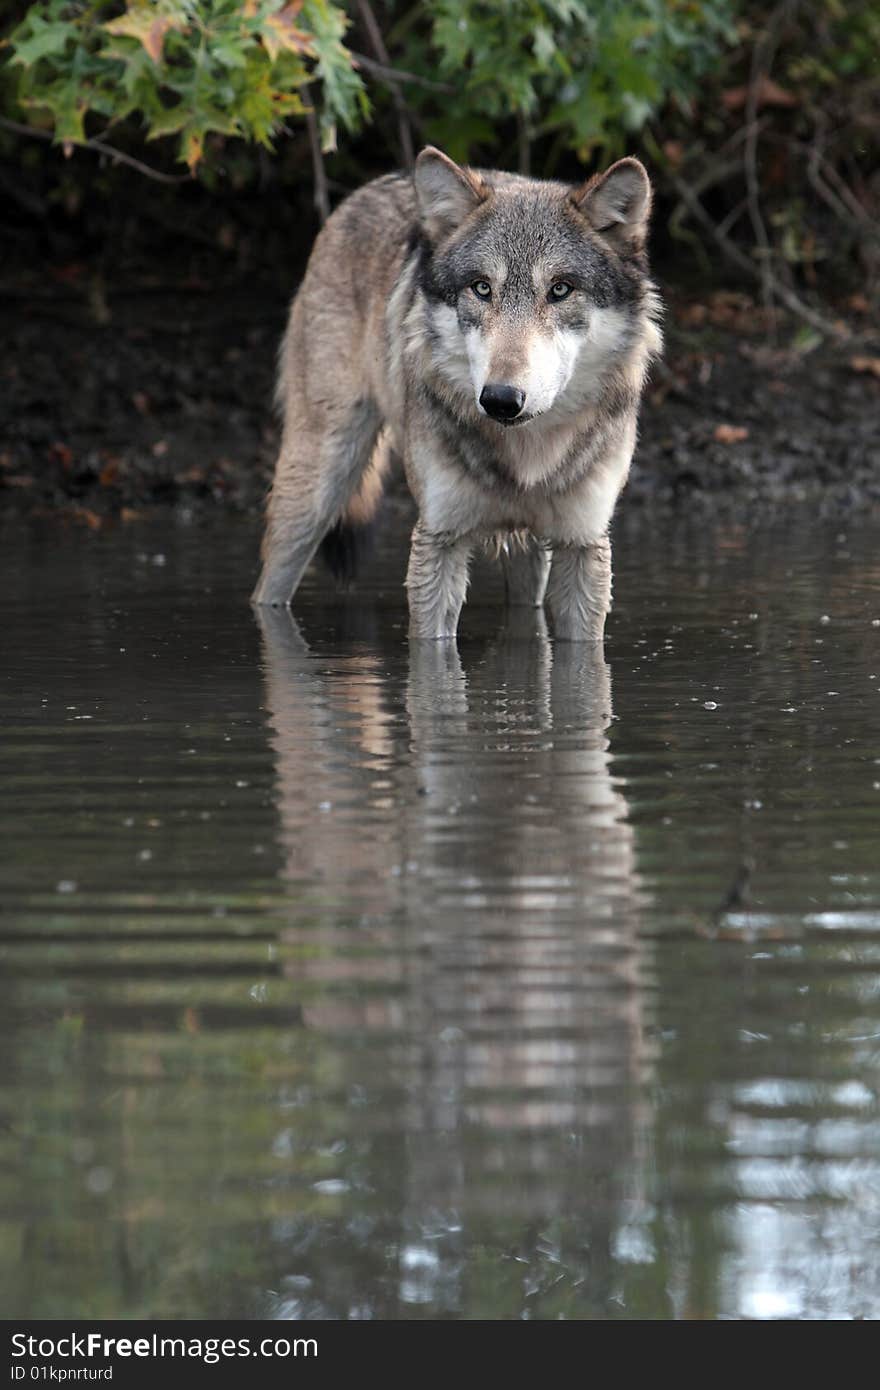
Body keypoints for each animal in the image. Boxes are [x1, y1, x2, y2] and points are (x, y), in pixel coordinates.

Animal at [248, 143, 658, 642]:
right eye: (481, 288)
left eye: (561, 290)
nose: (501, 398)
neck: (526, 456)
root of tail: (378, 183)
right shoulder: (439, 540)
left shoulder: (582, 546)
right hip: (314, 492)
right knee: (269, 588)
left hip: (531, 556)